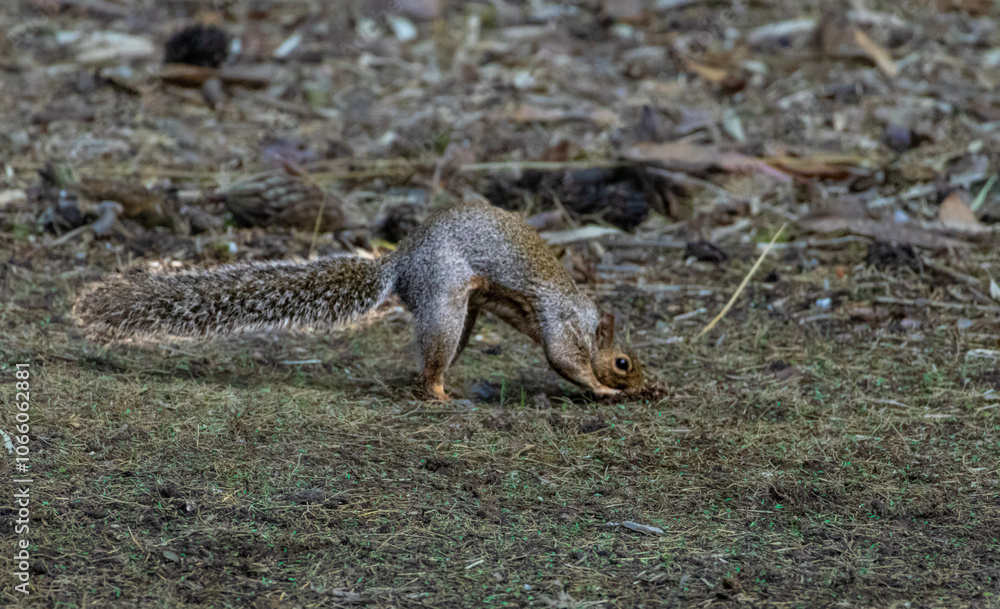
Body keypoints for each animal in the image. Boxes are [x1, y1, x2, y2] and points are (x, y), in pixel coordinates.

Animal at [75, 200, 644, 401]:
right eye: (624, 361)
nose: (649, 386)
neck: (585, 317)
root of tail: (401, 264)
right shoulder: (558, 320)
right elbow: (564, 360)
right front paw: (603, 389)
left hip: (463, 315)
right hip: (446, 301)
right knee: (430, 368)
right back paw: (440, 394)